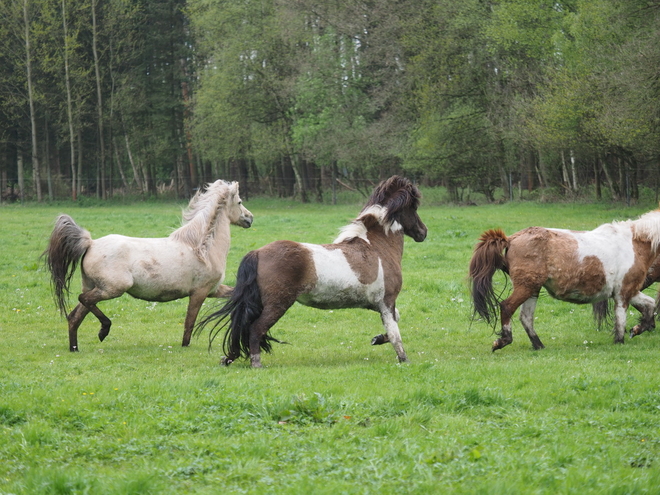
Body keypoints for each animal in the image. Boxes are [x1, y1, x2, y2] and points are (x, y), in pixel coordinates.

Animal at [43, 180, 254, 350]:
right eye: (239, 202)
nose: (250, 218)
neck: (202, 248)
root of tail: (90, 243)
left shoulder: (214, 290)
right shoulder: (199, 293)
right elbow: (189, 324)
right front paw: (184, 346)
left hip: (94, 286)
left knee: (74, 316)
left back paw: (75, 348)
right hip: (113, 288)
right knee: (83, 300)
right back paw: (104, 329)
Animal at [197, 175, 428, 368]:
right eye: (414, 207)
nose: (423, 232)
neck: (377, 248)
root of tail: (258, 252)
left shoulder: (377, 304)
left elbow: (395, 321)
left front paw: (377, 339)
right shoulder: (387, 301)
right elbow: (395, 331)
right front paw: (404, 359)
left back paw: (230, 358)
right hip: (277, 304)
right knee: (255, 329)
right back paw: (256, 364)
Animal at [466, 211, 660, 354]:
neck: (634, 243)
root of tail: (511, 239)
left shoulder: (629, 290)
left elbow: (650, 305)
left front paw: (639, 328)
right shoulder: (623, 292)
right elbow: (621, 320)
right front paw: (621, 341)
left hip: (532, 289)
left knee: (526, 317)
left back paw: (538, 345)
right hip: (526, 287)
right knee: (507, 307)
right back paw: (503, 341)